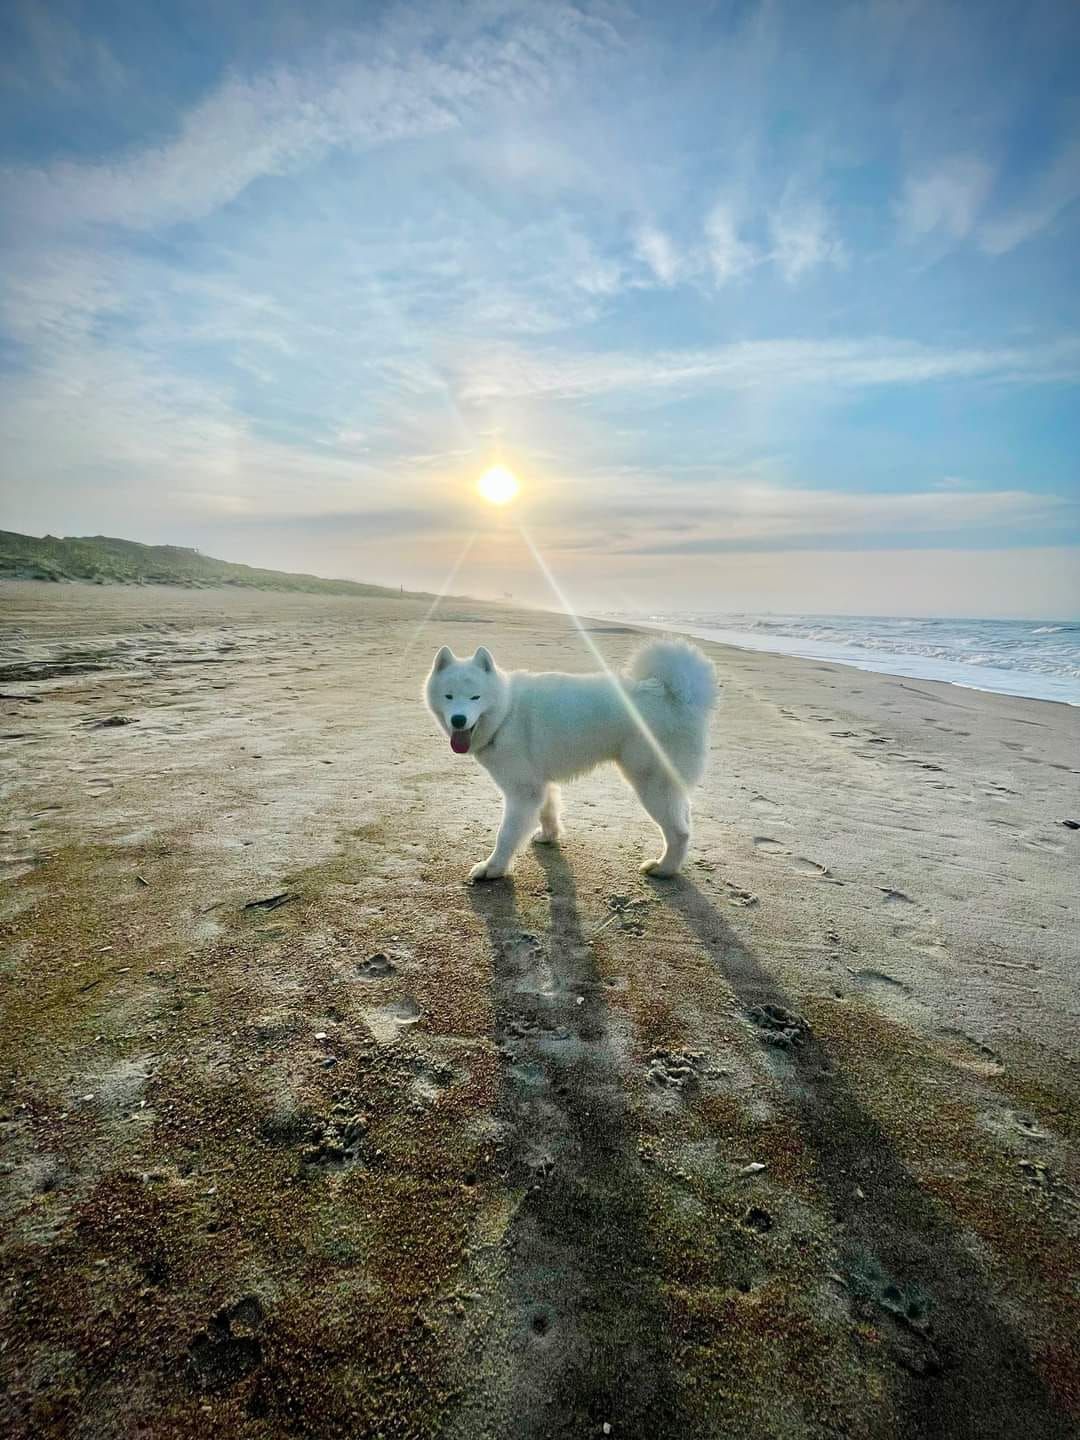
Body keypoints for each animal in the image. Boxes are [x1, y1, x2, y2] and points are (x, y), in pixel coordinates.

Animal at [426, 639, 720, 881]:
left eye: (475, 697)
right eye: (448, 696)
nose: (459, 720)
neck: (506, 711)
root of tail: (676, 696)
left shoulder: (522, 790)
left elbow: (506, 834)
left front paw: (493, 869)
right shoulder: (538, 784)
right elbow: (548, 811)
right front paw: (549, 836)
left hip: (651, 785)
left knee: (679, 833)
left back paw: (664, 869)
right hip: (665, 785)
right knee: (685, 819)